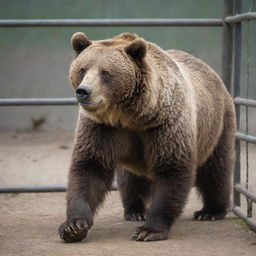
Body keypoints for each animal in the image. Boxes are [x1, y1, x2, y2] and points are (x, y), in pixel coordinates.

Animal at [58, 31, 236, 242]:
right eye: (82, 69)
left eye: (105, 72)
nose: (83, 91)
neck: (130, 116)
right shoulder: (102, 128)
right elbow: (90, 168)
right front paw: (74, 226)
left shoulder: (165, 125)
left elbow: (172, 169)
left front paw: (149, 230)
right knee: (130, 180)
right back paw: (134, 211)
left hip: (217, 123)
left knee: (216, 169)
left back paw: (210, 211)